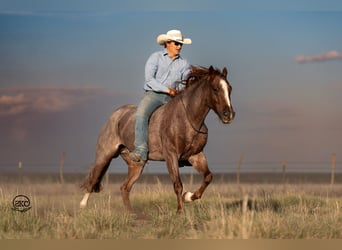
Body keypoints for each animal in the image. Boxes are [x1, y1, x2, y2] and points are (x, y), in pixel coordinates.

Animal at [80, 65, 235, 214]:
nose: (229, 115)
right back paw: (82, 206)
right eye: (215, 89)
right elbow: (177, 185)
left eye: (230, 89)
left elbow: (208, 177)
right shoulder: (171, 155)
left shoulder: (196, 155)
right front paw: (180, 212)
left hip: (136, 165)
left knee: (124, 187)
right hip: (105, 155)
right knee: (93, 179)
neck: (187, 118)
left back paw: (132, 214)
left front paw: (188, 197)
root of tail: (114, 115)